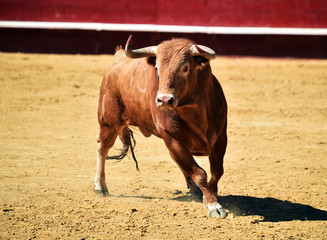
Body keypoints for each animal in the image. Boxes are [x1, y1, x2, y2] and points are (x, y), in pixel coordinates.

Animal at [95, 35, 228, 218]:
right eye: (157, 68)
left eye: (185, 67)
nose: (164, 100)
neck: (195, 111)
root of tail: (118, 57)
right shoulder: (172, 138)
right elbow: (200, 173)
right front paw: (213, 205)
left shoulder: (221, 136)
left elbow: (216, 170)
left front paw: (210, 196)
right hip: (108, 122)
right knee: (102, 148)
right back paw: (100, 186)